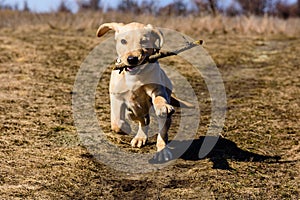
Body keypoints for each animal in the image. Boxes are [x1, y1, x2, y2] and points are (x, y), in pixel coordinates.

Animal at [97, 22, 193, 162]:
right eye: (123, 41)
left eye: (144, 41)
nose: (132, 59)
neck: (134, 76)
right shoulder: (116, 96)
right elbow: (116, 122)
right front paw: (126, 124)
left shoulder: (157, 89)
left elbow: (158, 99)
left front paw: (162, 106)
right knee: (142, 120)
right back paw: (139, 134)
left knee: (162, 132)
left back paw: (162, 150)